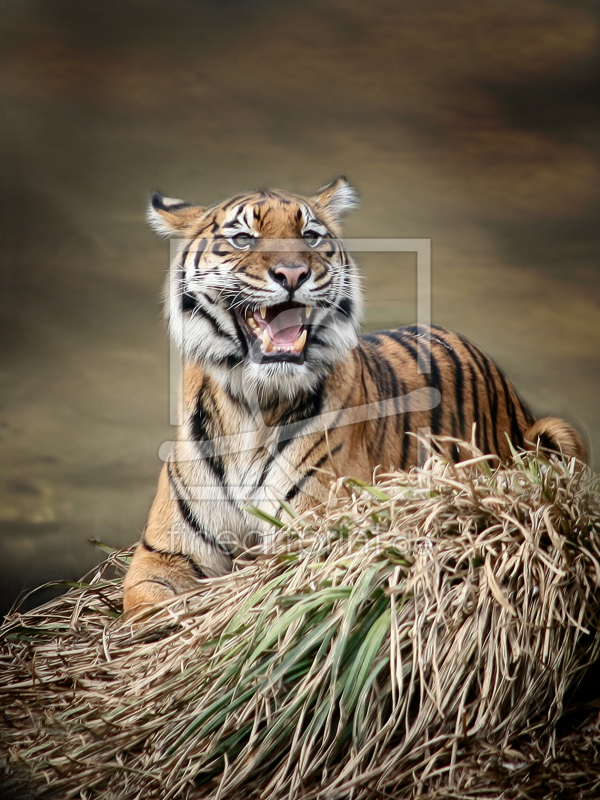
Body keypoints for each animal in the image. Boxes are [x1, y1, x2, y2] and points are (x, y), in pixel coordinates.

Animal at [122, 178, 584, 616]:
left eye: (309, 236)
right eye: (242, 238)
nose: (293, 275)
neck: (253, 406)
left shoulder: (310, 537)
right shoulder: (162, 555)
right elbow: (147, 612)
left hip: (555, 434)